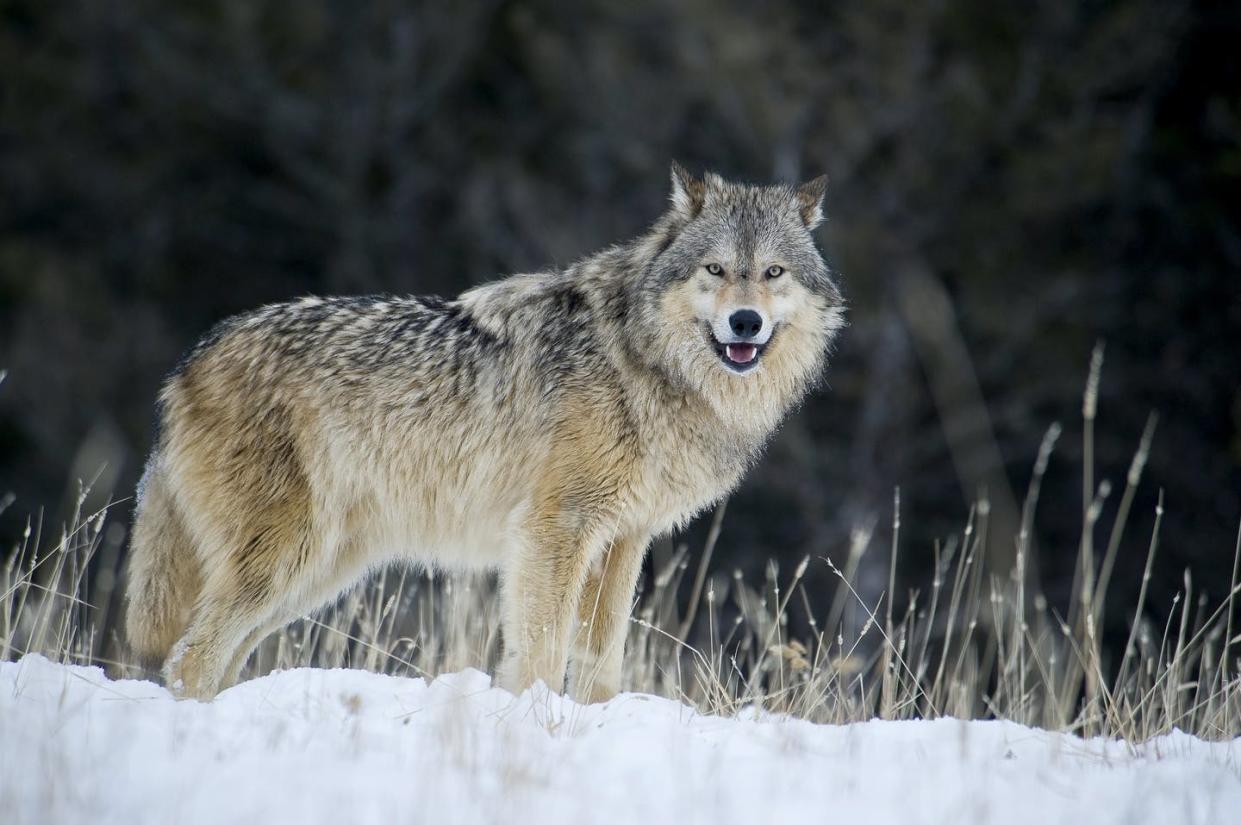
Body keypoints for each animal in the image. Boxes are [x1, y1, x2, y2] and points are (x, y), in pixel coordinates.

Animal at [123, 163, 843, 699]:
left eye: (772, 272)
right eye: (715, 270)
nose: (745, 322)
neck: (642, 360)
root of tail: (187, 362)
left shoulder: (623, 540)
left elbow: (601, 662)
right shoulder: (554, 530)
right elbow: (541, 652)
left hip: (318, 571)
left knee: (213, 658)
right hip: (287, 558)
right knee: (189, 658)